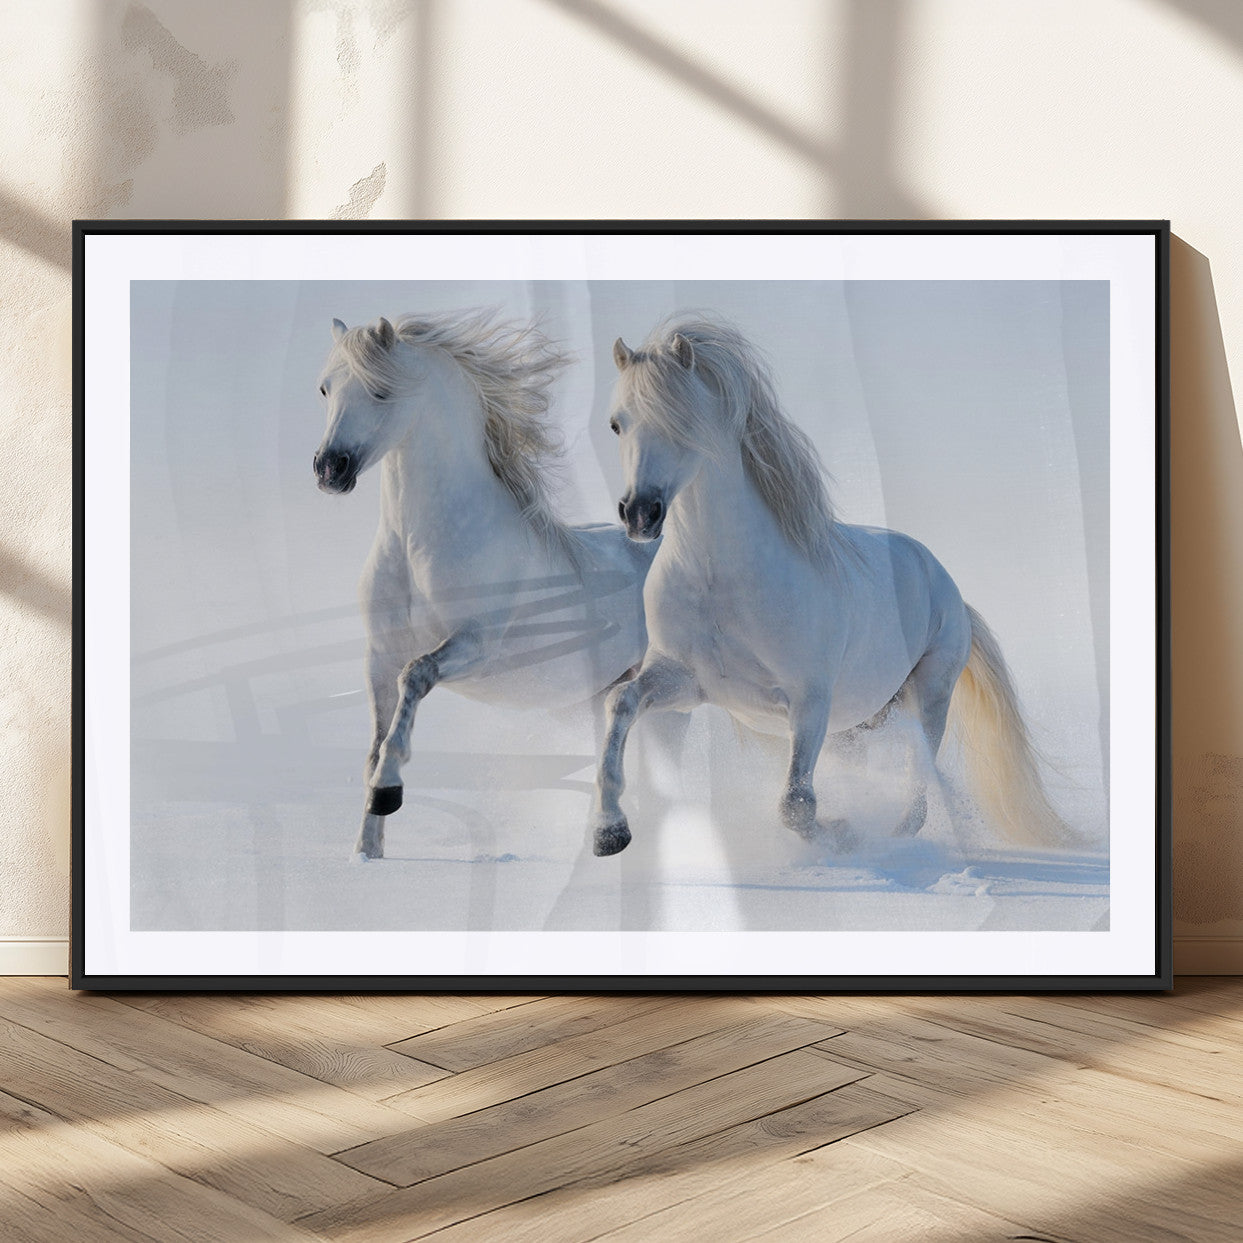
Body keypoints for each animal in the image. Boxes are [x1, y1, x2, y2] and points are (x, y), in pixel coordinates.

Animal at [313, 310, 657, 862]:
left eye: (381, 391)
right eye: (325, 388)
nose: (330, 469)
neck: (417, 545)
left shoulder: (475, 644)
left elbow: (415, 678)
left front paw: (388, 791)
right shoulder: (378, 655)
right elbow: (374, 742)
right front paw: (367, 852)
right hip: (603, 690)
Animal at [588, 314, 1071, 857]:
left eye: (683, 421)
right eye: (617, 423)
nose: (640, 514)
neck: (720, 581)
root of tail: (947, 585)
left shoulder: (809, 703)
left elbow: (796, 805)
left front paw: (843, 834)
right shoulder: (684, 682)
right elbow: (620, 703)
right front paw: (610, 831)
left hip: (928, 698)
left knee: (918, 789)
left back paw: (891, 840)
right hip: (855, 727)